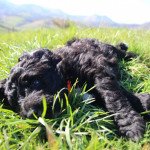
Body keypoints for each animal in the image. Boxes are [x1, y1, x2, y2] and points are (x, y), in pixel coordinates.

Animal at [0, 38, 150, 141]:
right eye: (15, 103)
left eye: (36, 81)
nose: (32, 114)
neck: (67, 73)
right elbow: (120, 94)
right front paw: (144, 101)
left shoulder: (99, 70)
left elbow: (113, 97)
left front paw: (131, 126)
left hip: (112, 51)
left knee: (123, 51)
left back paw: (138, 57)